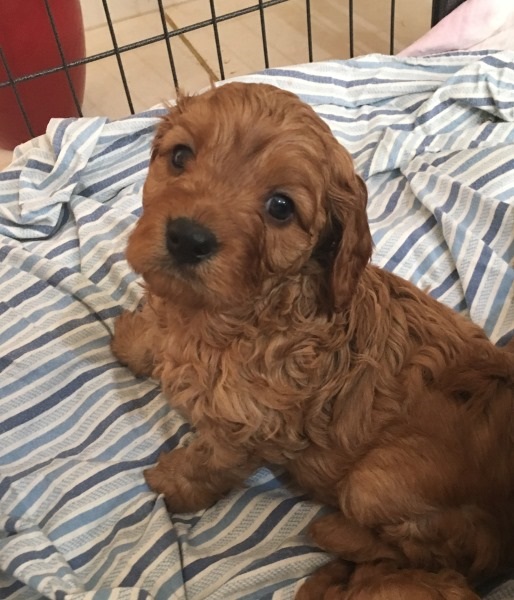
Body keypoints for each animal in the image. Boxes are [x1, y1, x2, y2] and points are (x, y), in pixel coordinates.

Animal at [112, 81, 512, 600]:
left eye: (281, 207)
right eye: (180, 156)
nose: (187, 238)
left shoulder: (246, 427)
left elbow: (207, 460)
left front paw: (173, 483)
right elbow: (156, 339)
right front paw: (136, 340)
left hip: (373, 483)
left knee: (445, 553)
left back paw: (332, 537)